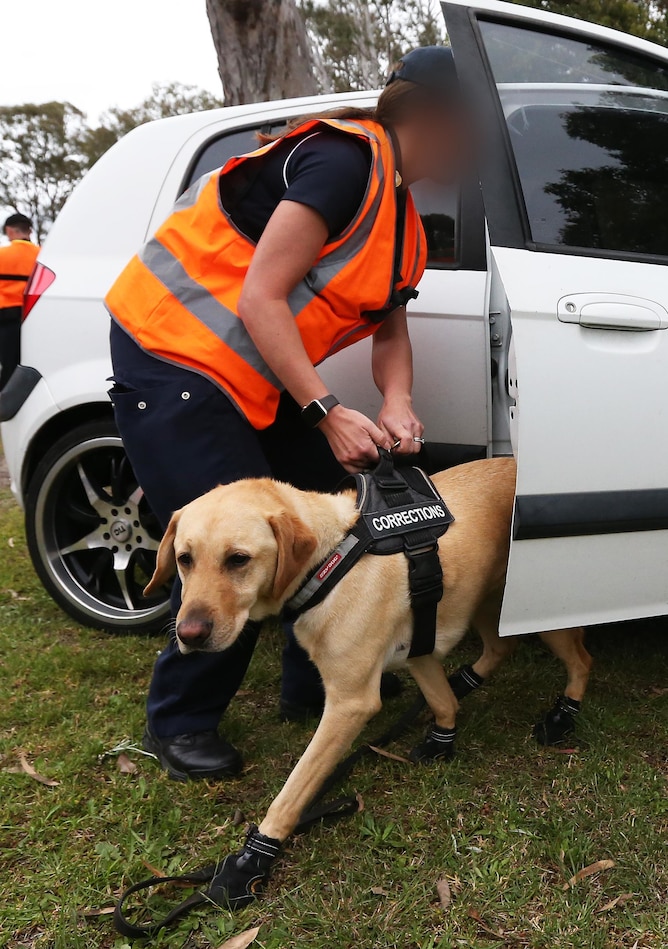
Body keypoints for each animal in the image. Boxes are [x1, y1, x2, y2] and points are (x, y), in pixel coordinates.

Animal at [145, 460, 588, 904]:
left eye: (238, 559)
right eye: (184, 559)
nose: (189, 635)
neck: (331, 561)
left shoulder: (349, 703)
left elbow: (293, 792)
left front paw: (252, 859)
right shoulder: (418, 647)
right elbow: (443, 701)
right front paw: (441, 739)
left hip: (543, 617)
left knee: (581, 661)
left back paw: (563, 715)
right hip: (485, 601)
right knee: (500, 647)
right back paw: (467, 680)